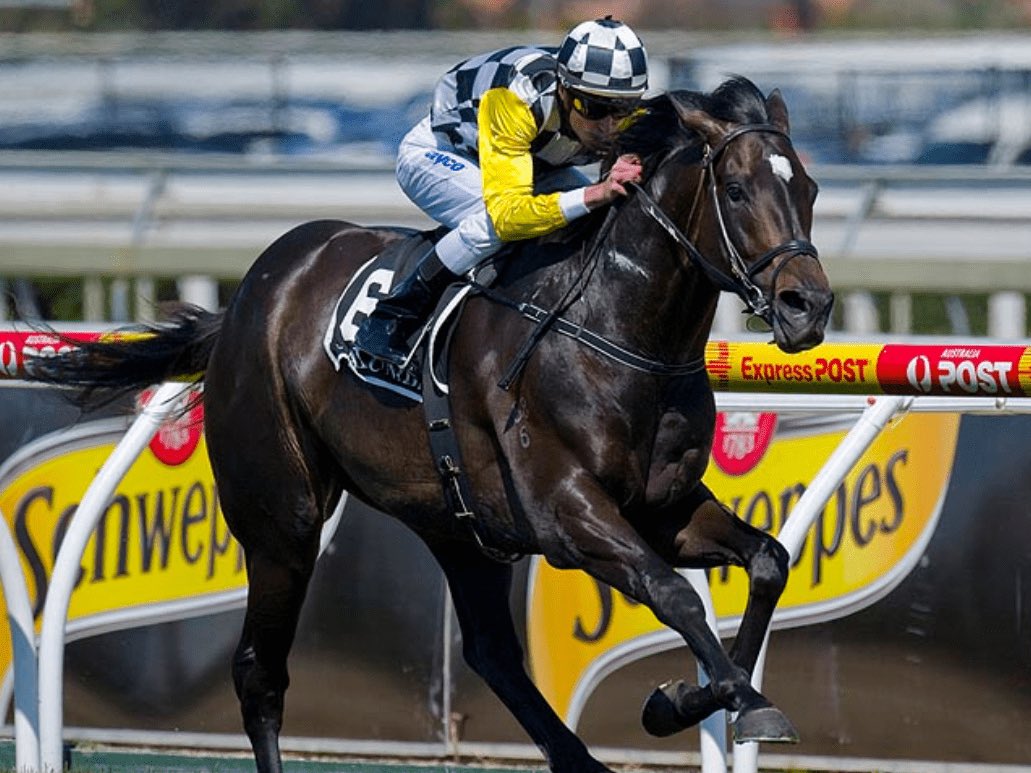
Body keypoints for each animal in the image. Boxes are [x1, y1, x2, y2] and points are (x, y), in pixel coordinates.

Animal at [29, 76, 833, 772]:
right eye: (736, 189)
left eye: (809, 188)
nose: (808, 306)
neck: (616, 330)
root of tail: (247, 301)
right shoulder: (565, 510)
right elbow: (672, 593)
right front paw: (728, 702)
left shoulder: (661, 506)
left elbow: (767, 561)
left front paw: (699, 699)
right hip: (280, 517)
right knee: (260, 670)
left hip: (458, 524)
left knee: (490, 652)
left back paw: (581, 761)